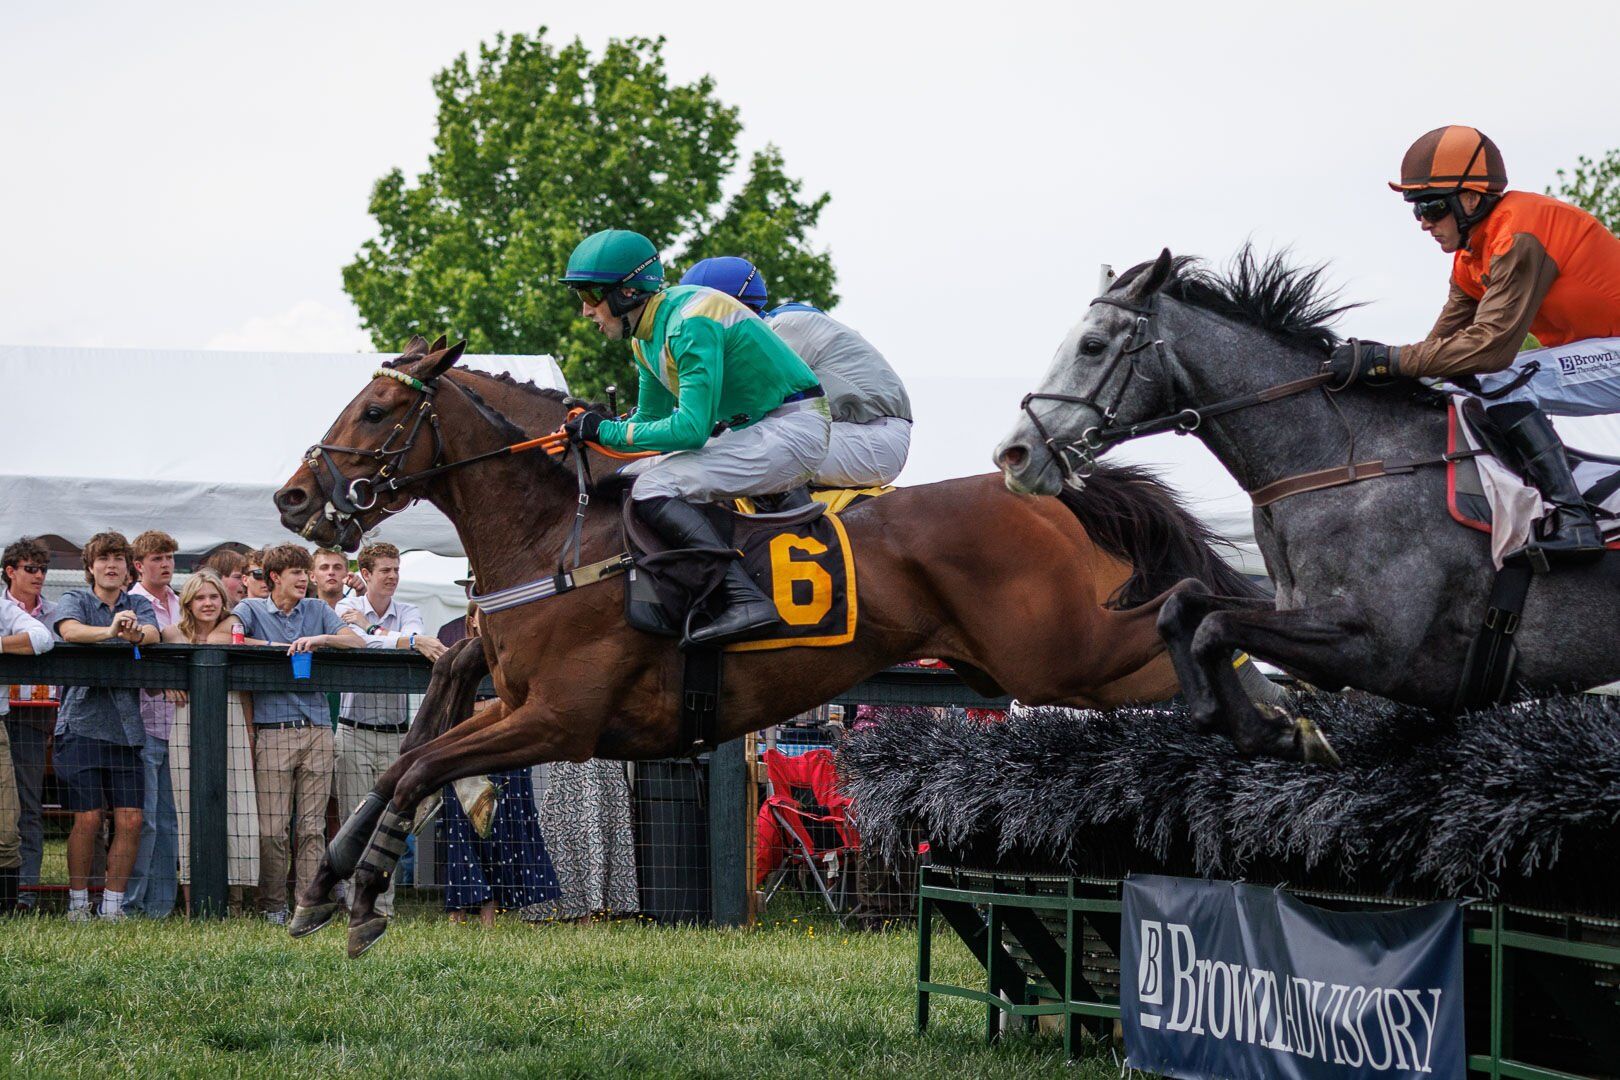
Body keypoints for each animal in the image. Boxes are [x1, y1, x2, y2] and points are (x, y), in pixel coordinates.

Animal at [274, 337, 1257, 956]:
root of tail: (1055, 491)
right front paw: (326, 885)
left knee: (1192, 636)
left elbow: (417, 766)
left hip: (1073, 654)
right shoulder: (506, 690)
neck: (565, 535)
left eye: (376, 410)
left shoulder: (559, 721)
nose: (292, 499)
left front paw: (358, 896)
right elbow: (420, 738)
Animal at [994, 246, 1620, 762]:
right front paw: (1245, 720)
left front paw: (1276, 731)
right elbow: (1183, 606)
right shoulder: (1295, 614)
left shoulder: (1374, 646)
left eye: (1092, 345)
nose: (1014, 454)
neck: (1342, 462)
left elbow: (1215, 626)